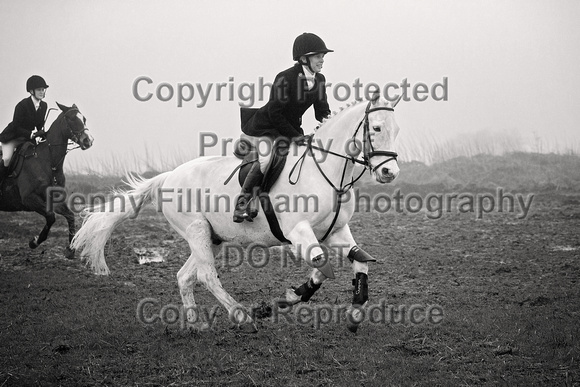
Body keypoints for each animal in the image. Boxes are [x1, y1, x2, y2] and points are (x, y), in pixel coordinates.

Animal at [0, 104, 93, 258]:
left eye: (84, 118)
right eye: (71, 118)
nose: (88, 140)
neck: (49, 162)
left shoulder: (55, 199)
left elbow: (70, 216)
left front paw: (70, 249)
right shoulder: (29, 199)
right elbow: (51, 216)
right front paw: (34, 242)